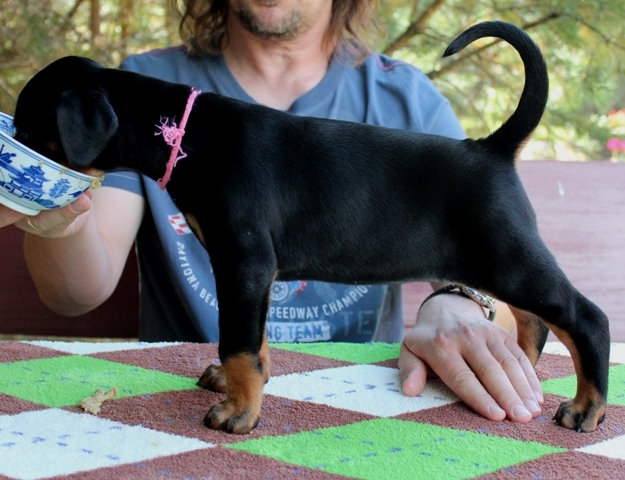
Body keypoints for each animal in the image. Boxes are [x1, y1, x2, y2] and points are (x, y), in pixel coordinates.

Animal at [13, 21, 610, 434]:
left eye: (27, 125)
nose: (11, 148)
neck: (185, 134)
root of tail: (493, 149)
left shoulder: (244, 260)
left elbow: (238, 340)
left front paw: (238, 412)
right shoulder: (255, 271)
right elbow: (253, 338)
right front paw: (243, 383)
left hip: (506, 255)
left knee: (586, 318)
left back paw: (586, 409)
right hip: (503, 260)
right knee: (535, 321)